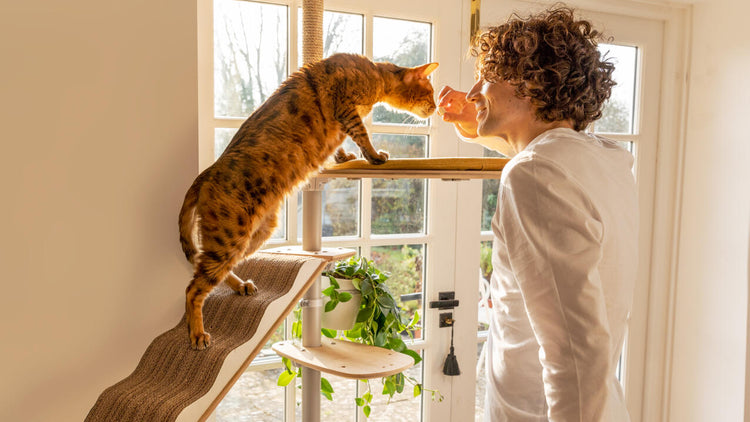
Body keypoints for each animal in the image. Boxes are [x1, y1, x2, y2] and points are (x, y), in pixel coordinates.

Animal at [180, 52, 440, 350]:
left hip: (255, 234)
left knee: (214, 270)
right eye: (430, 93)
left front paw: (345, 158)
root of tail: (206, 172)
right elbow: (363, 135)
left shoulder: (340, 124)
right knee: (193, 287)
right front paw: (374, 156)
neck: (375, 74)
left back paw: (240, 286)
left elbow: (340, 147)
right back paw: (197, 333)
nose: (436, 108)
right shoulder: (346, 107)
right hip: (230, 236)